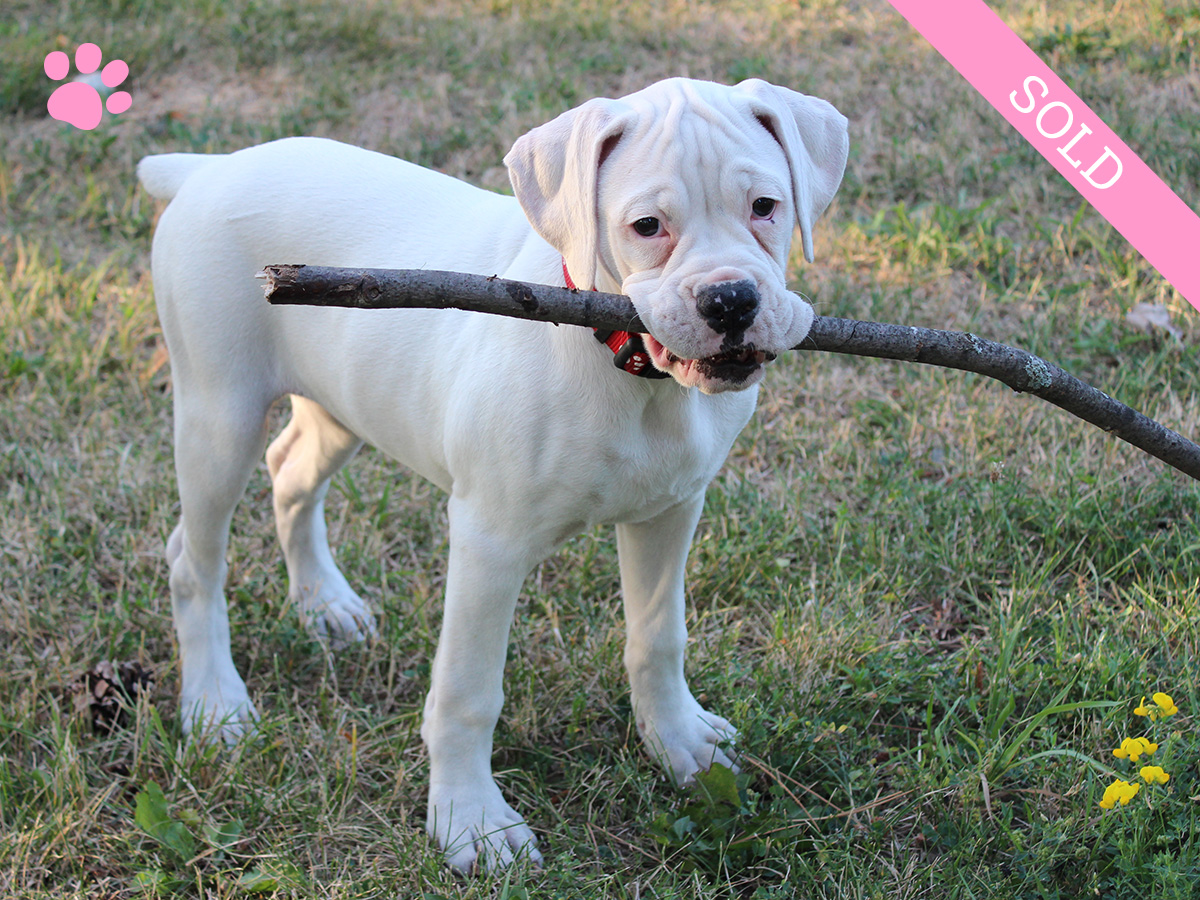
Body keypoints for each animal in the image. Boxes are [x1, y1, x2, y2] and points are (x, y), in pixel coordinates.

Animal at [136, 79, 849, 873]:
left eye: (766, 207)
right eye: (646, 226)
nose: (730, 300)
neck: (627, 368)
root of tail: (211, 168)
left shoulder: (670, 511)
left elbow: (659, 637)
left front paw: (679, 742)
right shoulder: (490, 543)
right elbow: (468, 691)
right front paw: (471, 821)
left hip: (346, 399)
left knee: (291, 471)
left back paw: (324, 604)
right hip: (218, 412)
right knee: (193, 559)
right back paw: (214, 703)